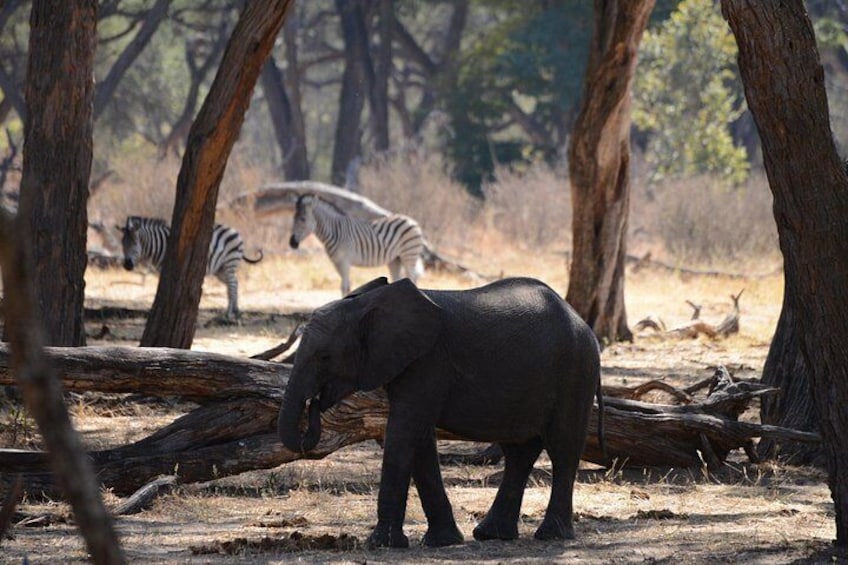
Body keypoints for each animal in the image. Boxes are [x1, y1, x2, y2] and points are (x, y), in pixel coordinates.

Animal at [277, 276, 604, 548]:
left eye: (324, 357)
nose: (315, 402)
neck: (366, 305)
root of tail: (583, 323)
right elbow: (419, 438)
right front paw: (442, 542)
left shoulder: (429, 361)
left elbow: (404, 431)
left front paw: (381, 544)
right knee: (520, 451)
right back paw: (490, 535)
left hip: (576, 370)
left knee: (562, 447)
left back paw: (551, 536)